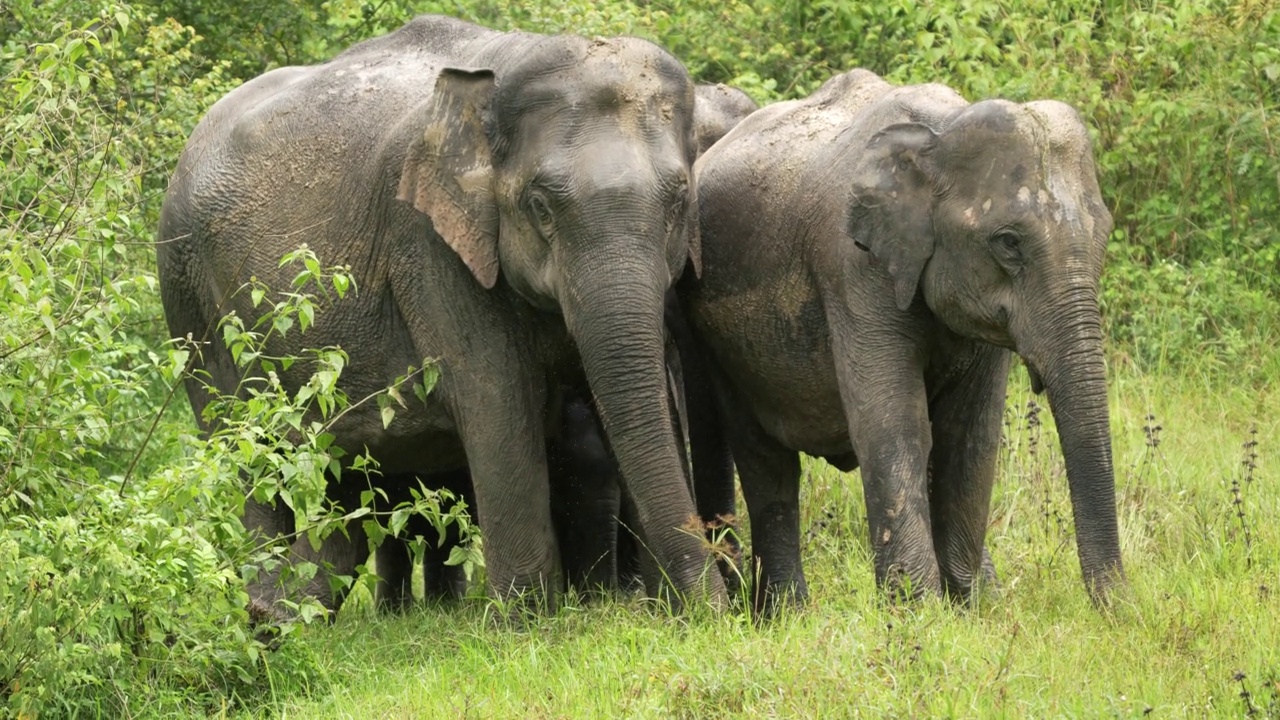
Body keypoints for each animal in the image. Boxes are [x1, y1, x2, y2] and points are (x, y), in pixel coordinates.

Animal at [156, 14, 732, 614]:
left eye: (680, 200)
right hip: (187, 295)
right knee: (246, 448)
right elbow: (498, 396)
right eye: (540, 206)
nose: (716, 613)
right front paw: (525, 619)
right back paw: (267, 608)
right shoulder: (430, 247)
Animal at [675, 67, 1126, 607]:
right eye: (1008, 243)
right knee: (766, 462)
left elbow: (971, 435)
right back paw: (790, 613)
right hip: (718, 341)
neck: (940, 133)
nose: (1119, 607)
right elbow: (895, 423)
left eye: (1104, 233)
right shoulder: (852, 265)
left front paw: (970, 607)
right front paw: (920, 612)